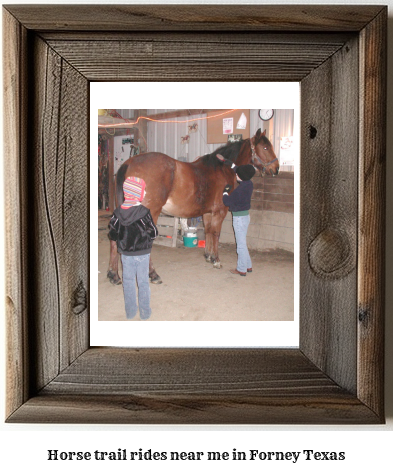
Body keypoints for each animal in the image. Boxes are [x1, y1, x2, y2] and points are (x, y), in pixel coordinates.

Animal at [107, 128, 278, 286]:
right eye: (265, 148)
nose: (276, 169)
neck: (221, 169)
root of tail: (128, 163)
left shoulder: (207, 212)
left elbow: (208, 232)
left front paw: (208, 256)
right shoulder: (220, 211)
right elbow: (216, 233)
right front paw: (216, 259)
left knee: (115, 239)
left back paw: (114, 275)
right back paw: (153, 274)